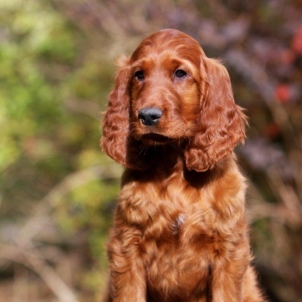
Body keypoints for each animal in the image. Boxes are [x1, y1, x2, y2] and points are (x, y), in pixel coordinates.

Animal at [101, 28, 264, 302]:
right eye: (139, 75)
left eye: (180, 73)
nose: (148, 116)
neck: (174, 165)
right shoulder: (127, 247)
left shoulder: (229, 251)